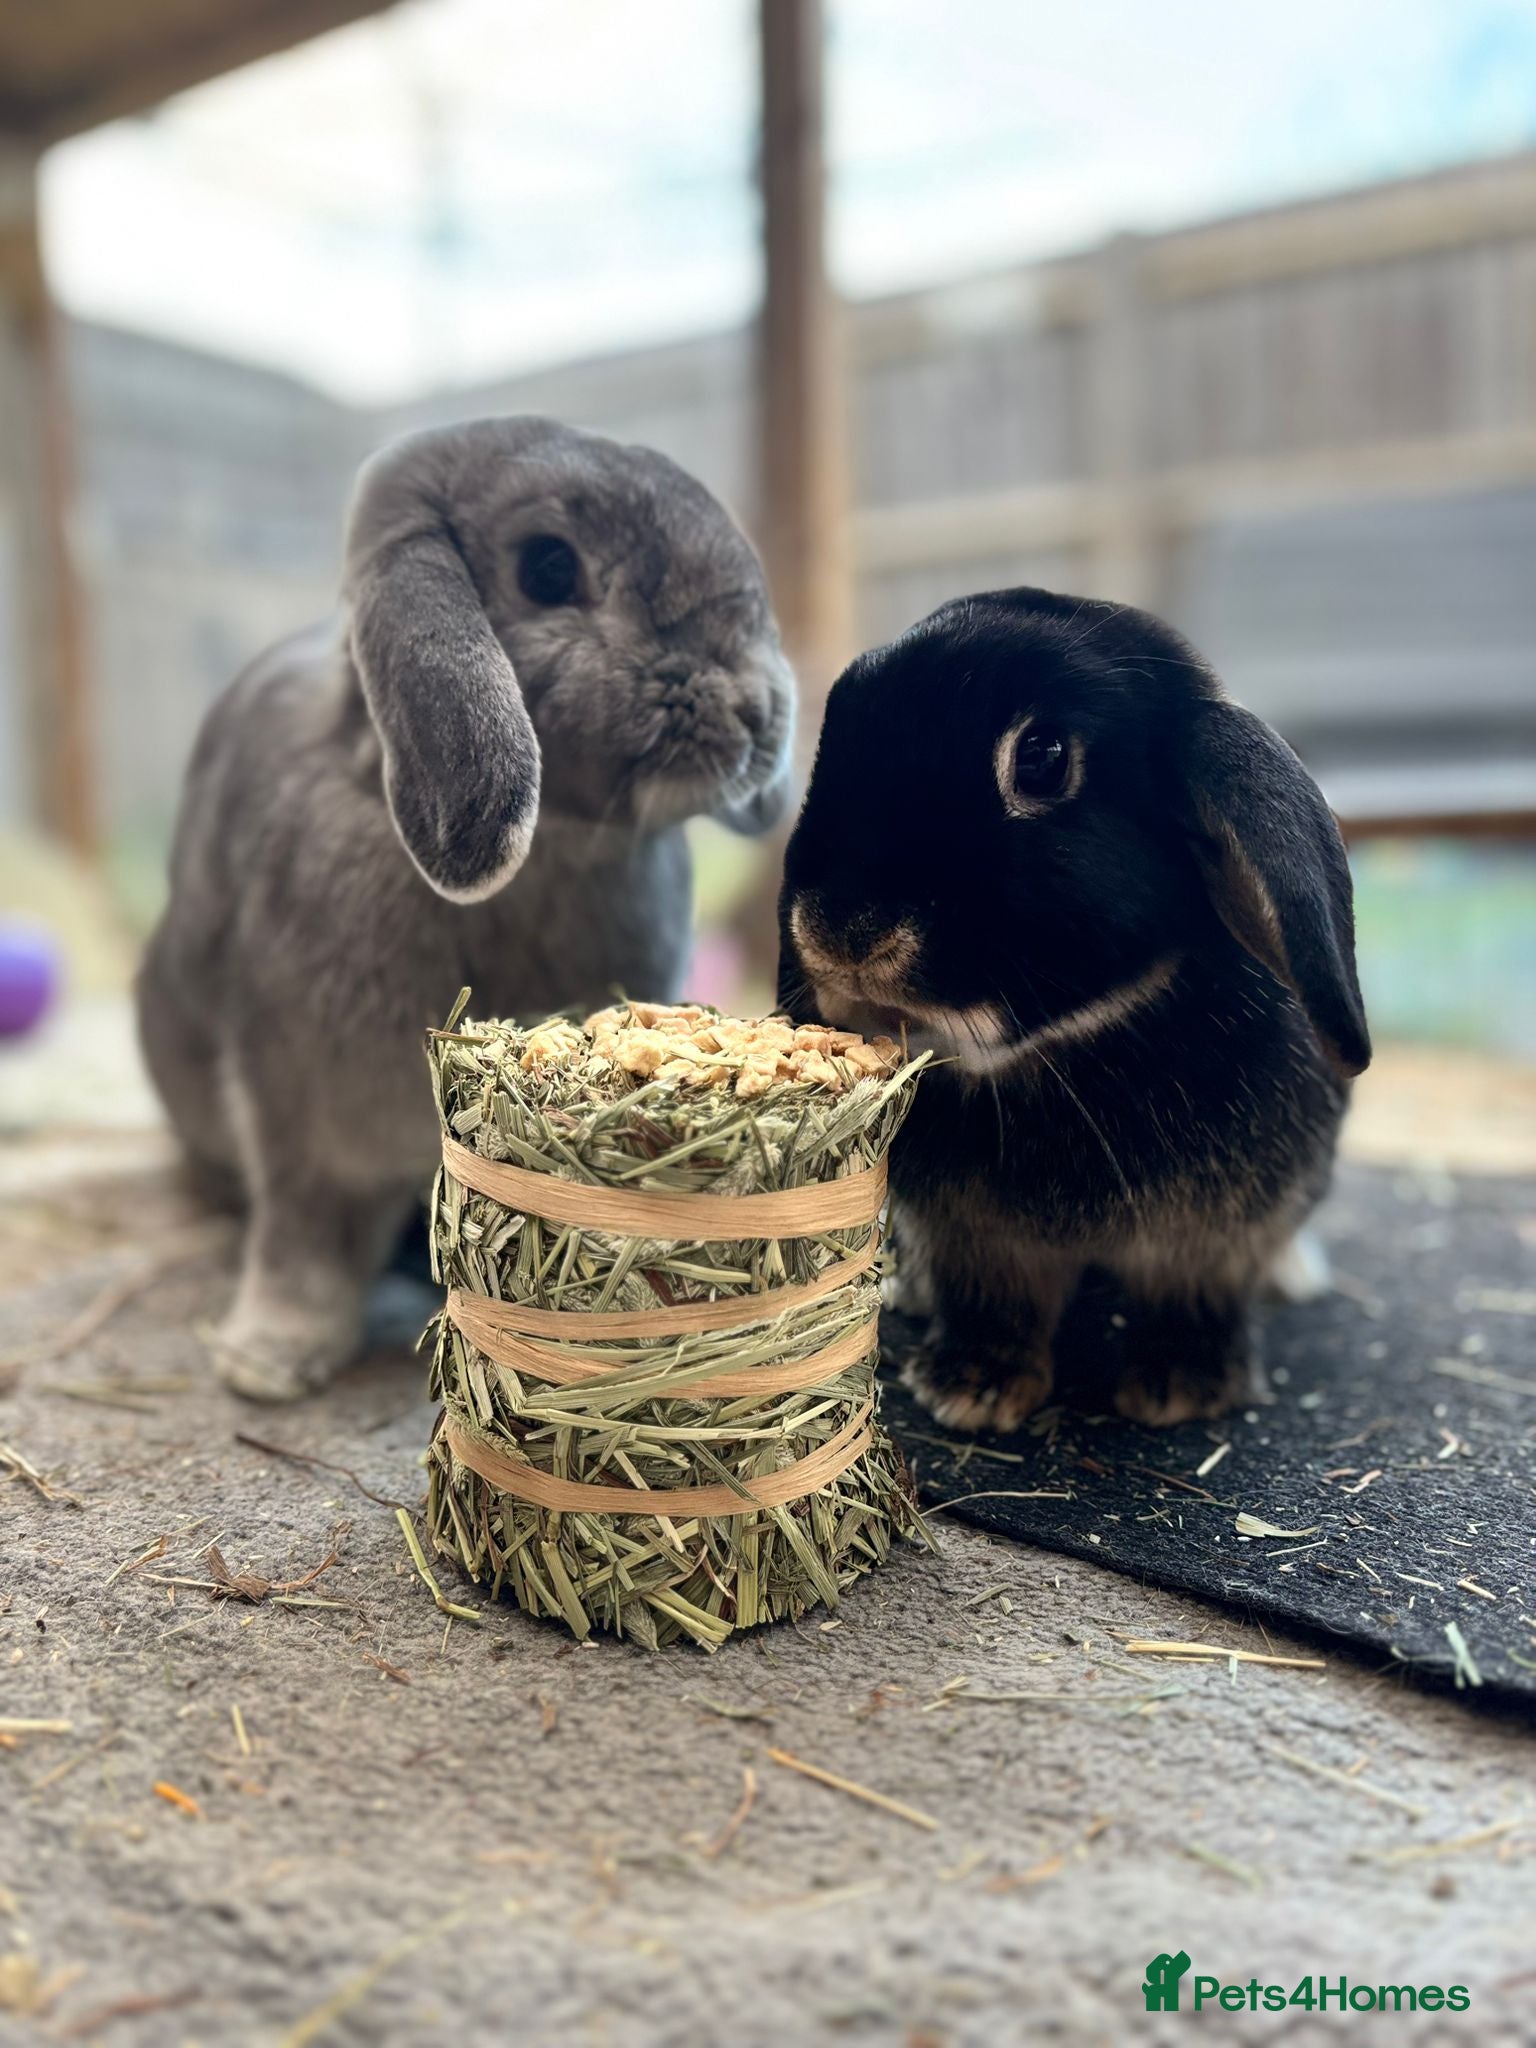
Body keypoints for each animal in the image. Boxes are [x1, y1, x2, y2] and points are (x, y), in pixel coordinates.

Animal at [777, 586, 1369, 1432]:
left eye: (1042, 757)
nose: (839, 928)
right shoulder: (974, 1247)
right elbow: (994, 1307)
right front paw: (973, 1390)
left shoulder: (1219, 1240)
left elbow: (1195, 1301)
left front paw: (1183, 1391)